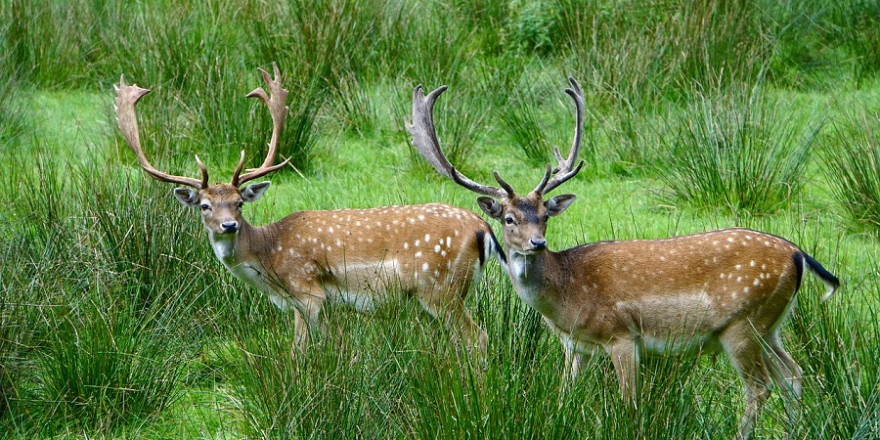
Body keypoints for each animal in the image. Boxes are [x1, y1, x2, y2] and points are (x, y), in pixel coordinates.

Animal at [114, 64, 506, 354]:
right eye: (206, 206)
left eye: (239, 204)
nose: (228, 226)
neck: (269, 261)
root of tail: (484, 228)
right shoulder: (328, 305)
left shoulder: (307, 292)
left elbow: (299, 352)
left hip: (440, 289)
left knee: (478, 338)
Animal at [410, 77, 844, 438]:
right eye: (510, 218)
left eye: (546, 215)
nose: (536, 244)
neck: (566, 297)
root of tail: (798, 254)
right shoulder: (576, 346)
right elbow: (564, 398)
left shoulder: (622, 335)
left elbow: (629, 404)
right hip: (771, 325)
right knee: (794, 375)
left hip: (742, 323)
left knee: (760, 387)